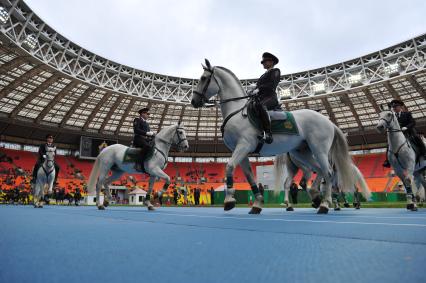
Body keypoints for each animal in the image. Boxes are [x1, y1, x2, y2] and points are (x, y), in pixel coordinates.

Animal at [191, 60, 354, 215]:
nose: (193, 101)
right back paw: (316, 198)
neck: (236, 111)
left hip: (319, 150)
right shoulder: (240, 151)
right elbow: (249, 176)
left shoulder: (244, 146)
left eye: (203, 78)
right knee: (318, 171)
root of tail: (328, 121)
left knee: (328, 173)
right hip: (302, 153)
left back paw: (325, 204)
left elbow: (229, 167)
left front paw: (229, 200)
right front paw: (257, 204)